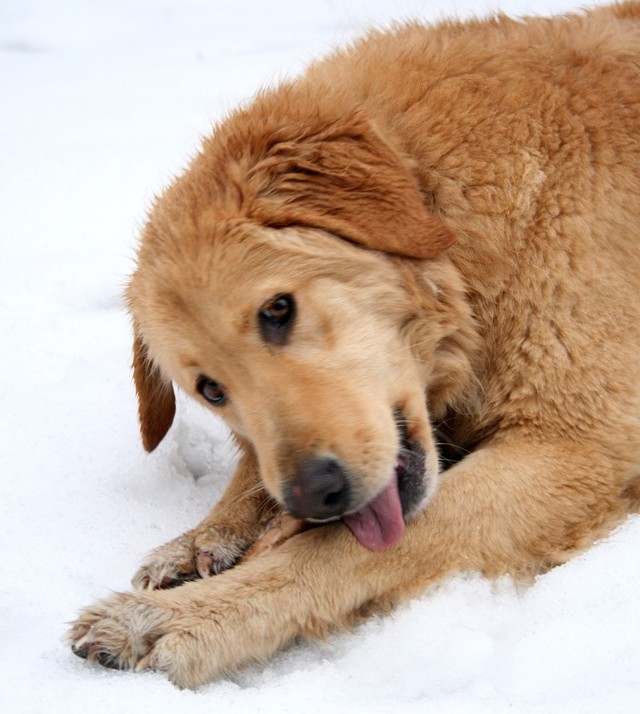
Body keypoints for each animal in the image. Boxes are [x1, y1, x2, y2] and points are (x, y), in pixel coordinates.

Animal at [67, 2, 636, 688]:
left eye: (278, 310)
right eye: (211, 390)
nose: (314, 495)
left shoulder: (571, 448)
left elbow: (338, 553)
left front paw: (186, 615)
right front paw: (210, 534)